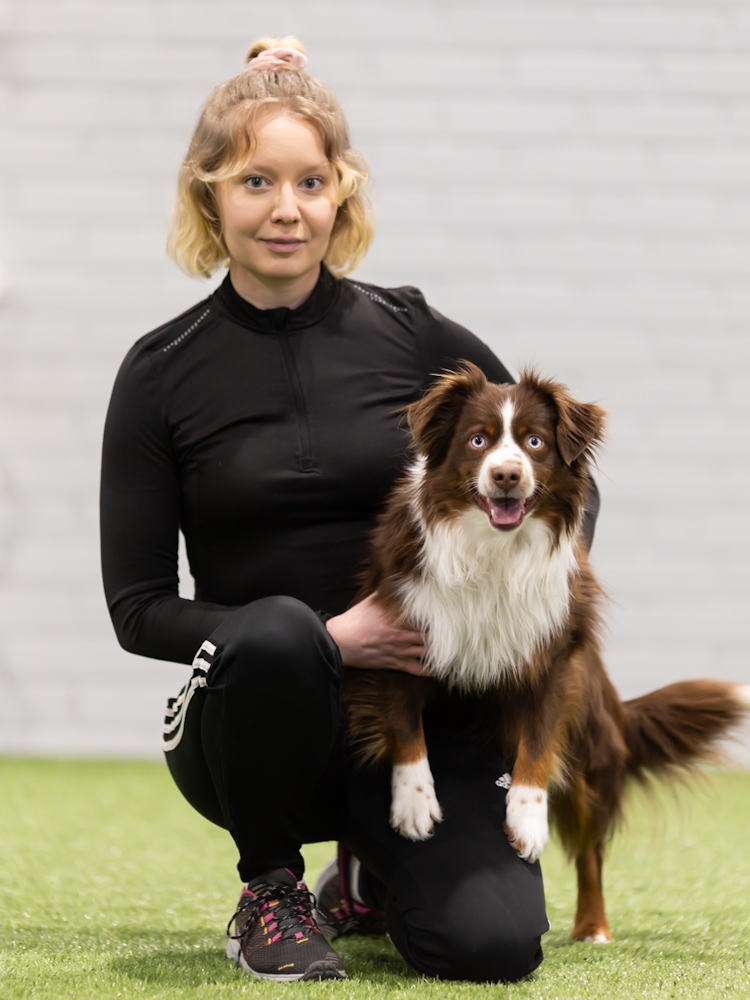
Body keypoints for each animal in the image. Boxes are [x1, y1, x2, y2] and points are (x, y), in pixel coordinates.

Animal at [343, 362, 749, 942]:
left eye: (534, 442)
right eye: (478, 440)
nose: (507, 475)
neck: (492, 549)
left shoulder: (551, 659)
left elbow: (536, 749)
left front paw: (526, 821)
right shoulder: (397, 633)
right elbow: (403, 726)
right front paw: (415, 803)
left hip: (590, 746)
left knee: (591, 850)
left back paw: (593, 927)